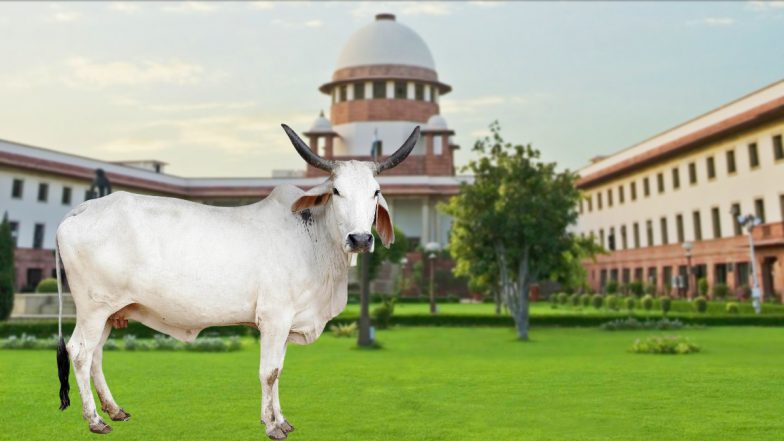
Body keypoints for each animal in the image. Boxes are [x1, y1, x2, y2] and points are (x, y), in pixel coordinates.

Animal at [54, 124, 420, 439]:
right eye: (336, 190)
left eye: (376, 192)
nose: (360, 239)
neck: (311, 238)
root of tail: (81, 210)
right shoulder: (274, 318)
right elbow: (269, 372)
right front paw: (272, 426)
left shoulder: (286, 324)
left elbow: (278, 370)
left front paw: (281, 420)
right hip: (93, 308)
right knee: (80, 352)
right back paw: (95, 420)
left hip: (109, 311)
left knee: (96, 354)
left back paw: (114, 410)